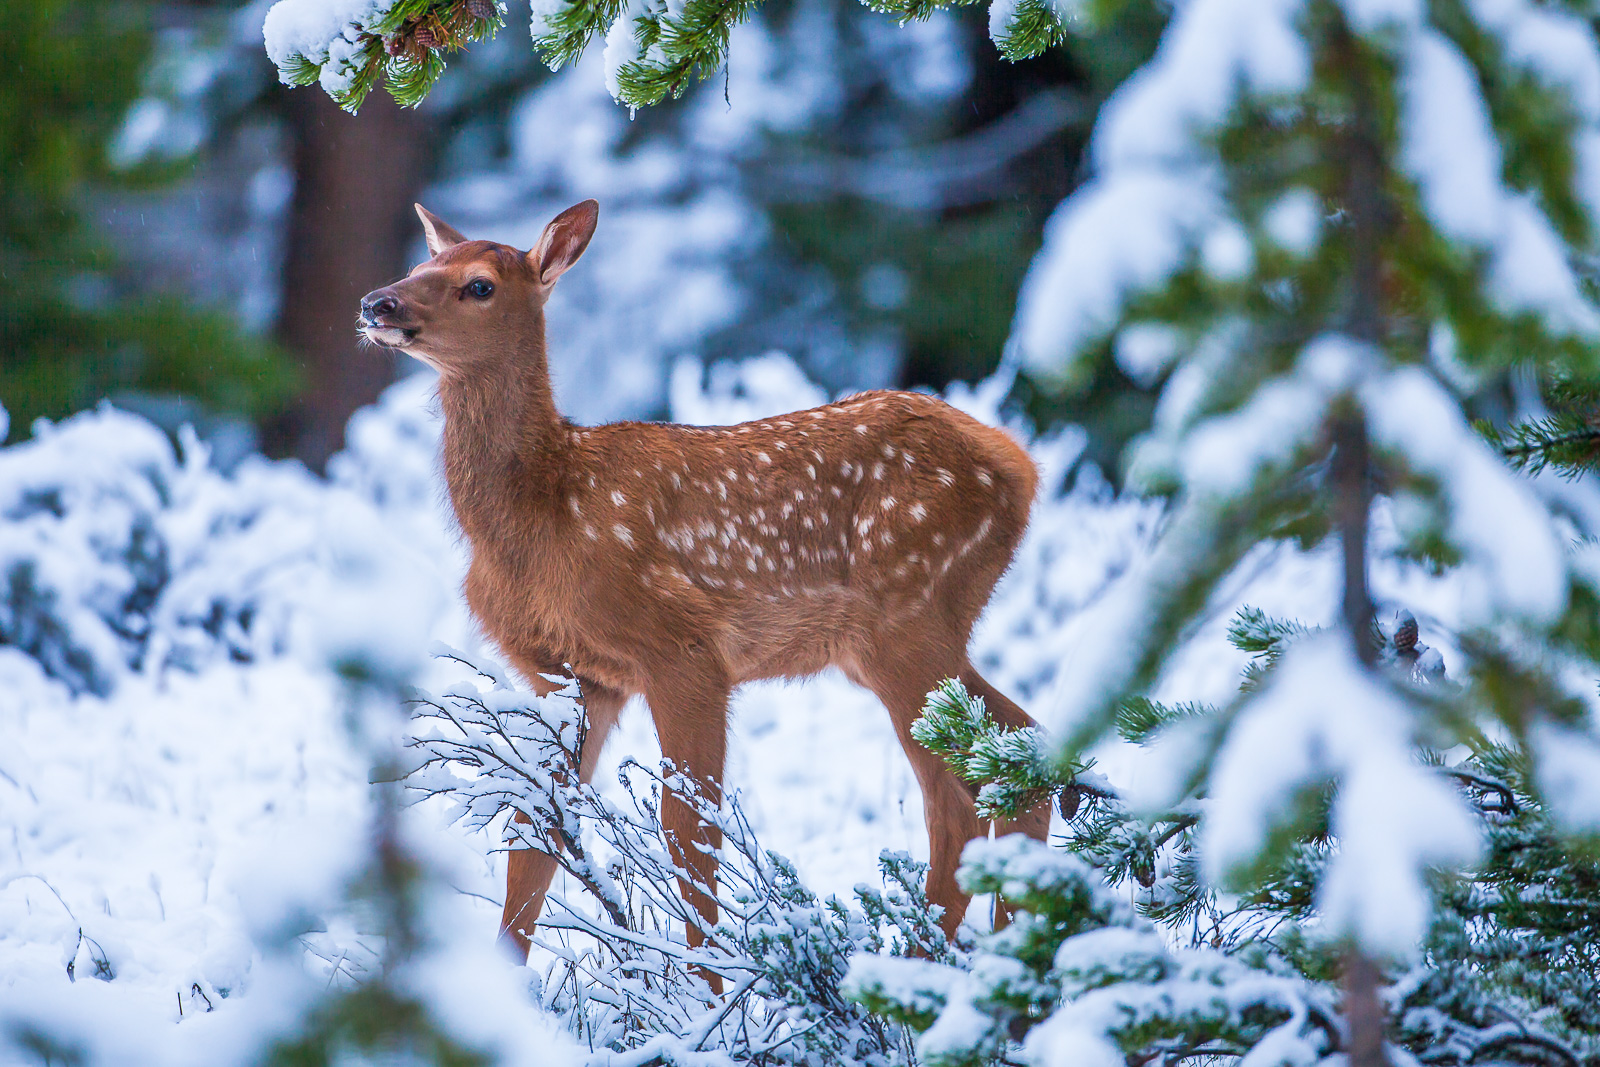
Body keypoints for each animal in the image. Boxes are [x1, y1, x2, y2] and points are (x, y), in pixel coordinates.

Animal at [360, 199, 1049, 959]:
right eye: (421, 264)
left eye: (479, 284)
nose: (377, 302)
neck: (542, 513)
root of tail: (1020, 466)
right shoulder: (573, 675)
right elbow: (535, 835)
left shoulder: (683, 647)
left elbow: (690, 836)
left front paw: (709, 986)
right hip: (899, 640)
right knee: (1023, 755)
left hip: (910, 612)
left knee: (959, 800)